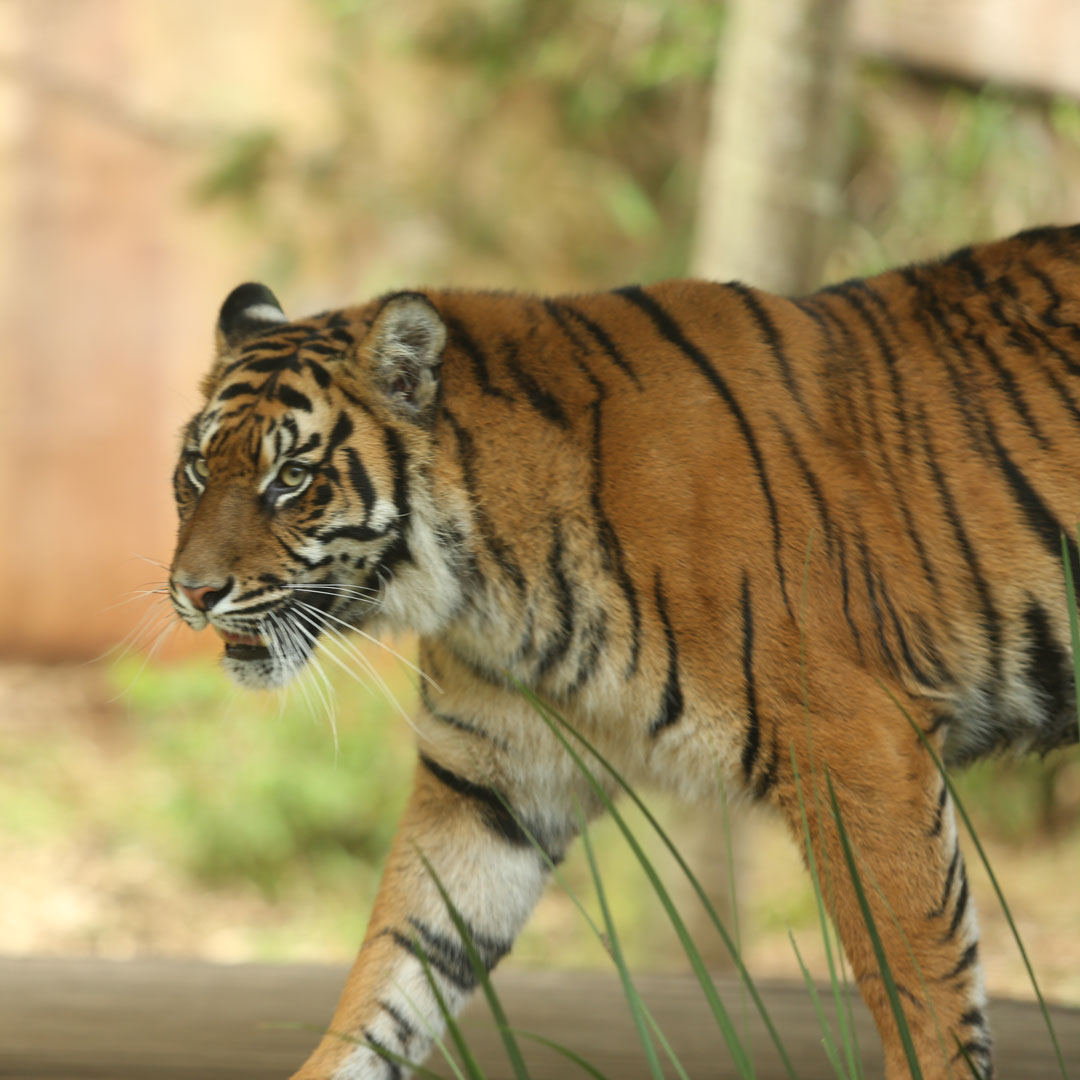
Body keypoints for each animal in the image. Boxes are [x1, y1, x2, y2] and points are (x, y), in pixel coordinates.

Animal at [167, 223, 1080, 1080]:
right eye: (196, 472)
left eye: (290, 479)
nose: (192, 592)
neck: (486, 584)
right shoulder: (488, 781)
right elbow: (397, 969)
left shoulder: (858, 745)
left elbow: (921, 984)